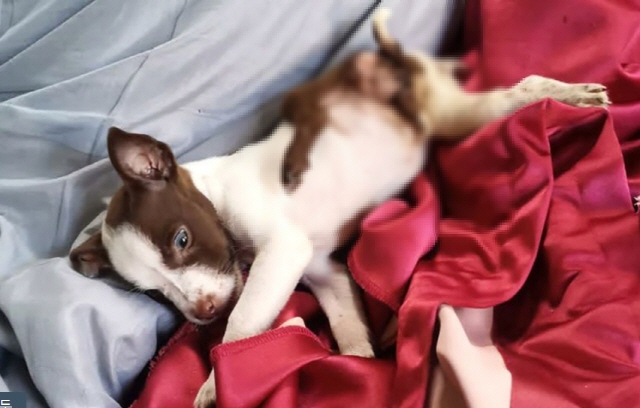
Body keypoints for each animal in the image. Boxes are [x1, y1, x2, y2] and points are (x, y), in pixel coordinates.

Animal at [69, 9, 609, 407]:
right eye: (154, 294)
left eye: (181, 240)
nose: (202, 313)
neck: (219, 201)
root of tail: (390, 61)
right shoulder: (323, 271)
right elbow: (349, 330)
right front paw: (358, 370)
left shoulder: (281, 253)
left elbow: (241, 325)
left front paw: (212, 383)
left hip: (453, 115)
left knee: (524, 89)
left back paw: (574, 96)